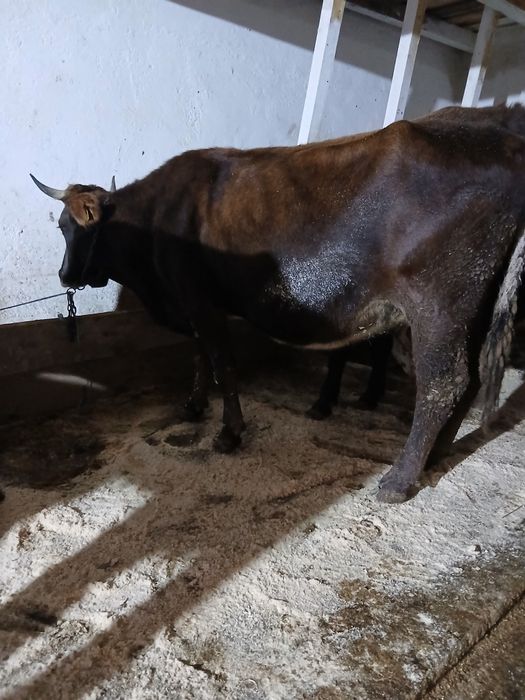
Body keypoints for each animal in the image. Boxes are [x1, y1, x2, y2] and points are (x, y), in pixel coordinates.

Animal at [31, 104, 525, 503]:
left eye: (67, 227)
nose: (64, 276)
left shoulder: (198, 298)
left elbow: (223, 363)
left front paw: (229, 433)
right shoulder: (195, 302)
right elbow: (200, 355)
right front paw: (193, 407)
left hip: (440, 306)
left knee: (444, 382)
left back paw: (399, 480)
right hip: (476, 307)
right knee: (473, 377)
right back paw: (437, 454)